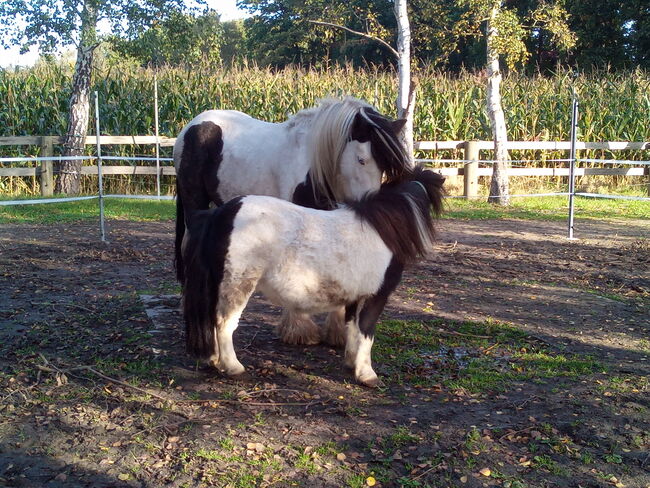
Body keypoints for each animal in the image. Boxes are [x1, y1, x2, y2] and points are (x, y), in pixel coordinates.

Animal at [172, 96, 404, 346]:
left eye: (384, 166)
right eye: (362, 160)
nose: (373, 207)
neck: (313, 161)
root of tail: (193, 125)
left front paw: (337, 332)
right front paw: (300, 330)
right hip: (195, 203)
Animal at [182, 166, 446, 386]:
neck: (382, 231)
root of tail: (220, 214)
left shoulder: (355, 298)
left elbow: (352, 328)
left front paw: (351, 364)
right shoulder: (375, 297)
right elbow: (366, 332)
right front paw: (367, 374)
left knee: (211, 321)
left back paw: (214, 361)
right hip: (237, 285)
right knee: (224, 324)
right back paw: (233, 367)